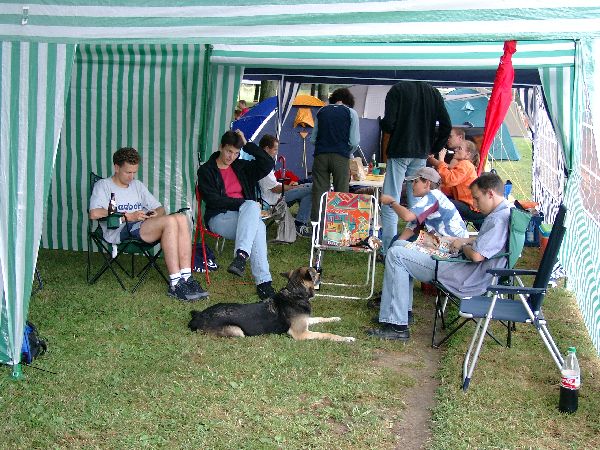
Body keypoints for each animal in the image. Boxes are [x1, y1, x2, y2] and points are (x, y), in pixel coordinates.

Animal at [188, 267, 355, 342]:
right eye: (315, 273)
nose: (321, 271)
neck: (295, 294)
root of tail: (198, 317)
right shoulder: (300, 333)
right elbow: (327, 334)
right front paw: (346, 338)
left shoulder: (306, 321)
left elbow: (321, 318)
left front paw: (335, 318)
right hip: (238, 331)